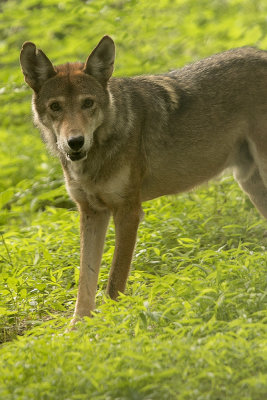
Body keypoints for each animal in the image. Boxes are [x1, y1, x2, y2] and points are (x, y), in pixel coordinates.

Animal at [21, 36, 267, 324]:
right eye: (55, 107)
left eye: (88, 103)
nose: (75, 142)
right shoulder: (91, 213)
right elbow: (85, 280)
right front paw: (78, 327)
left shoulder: (128, 212)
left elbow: (114, 281)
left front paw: (111, 323)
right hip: (250, 183)